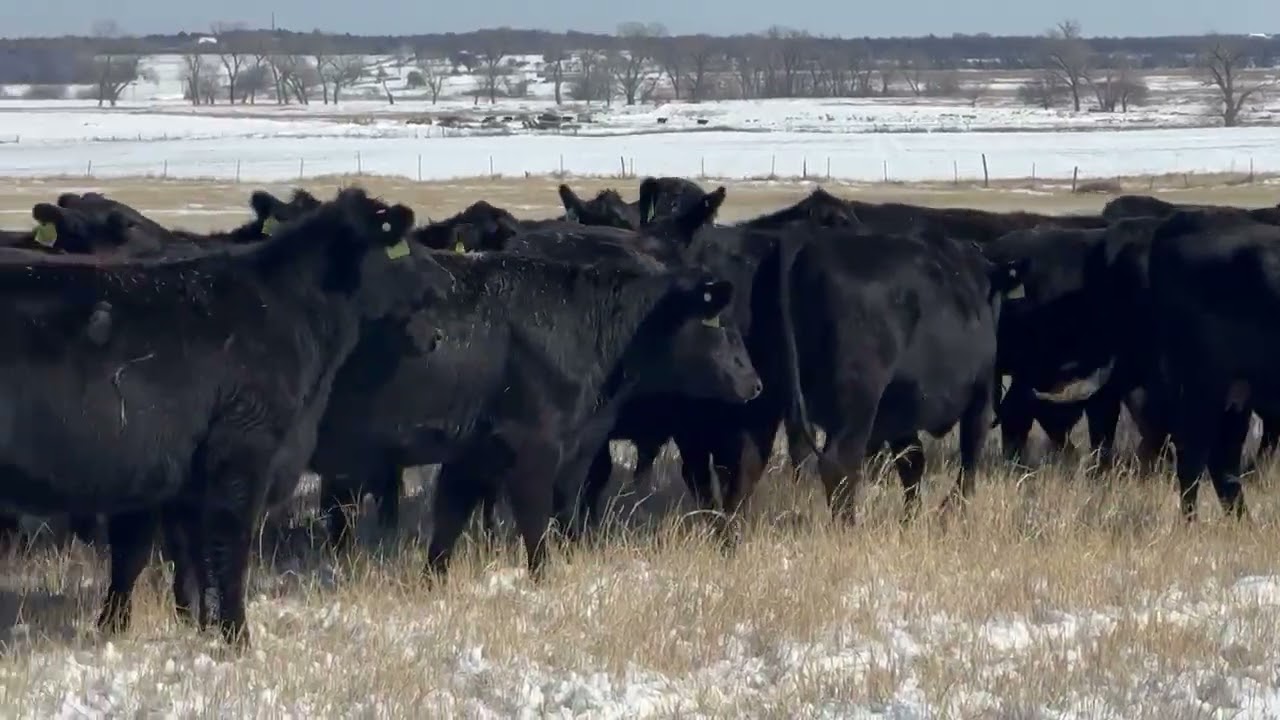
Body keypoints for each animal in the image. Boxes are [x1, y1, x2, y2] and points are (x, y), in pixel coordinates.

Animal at [0, 187, 446, 648]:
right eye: (399, 244)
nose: (443, 282)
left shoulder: (181, 477)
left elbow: (185, 557)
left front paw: (202, 628)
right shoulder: (242, 452)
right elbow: (228, 547)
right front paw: (237, 637)